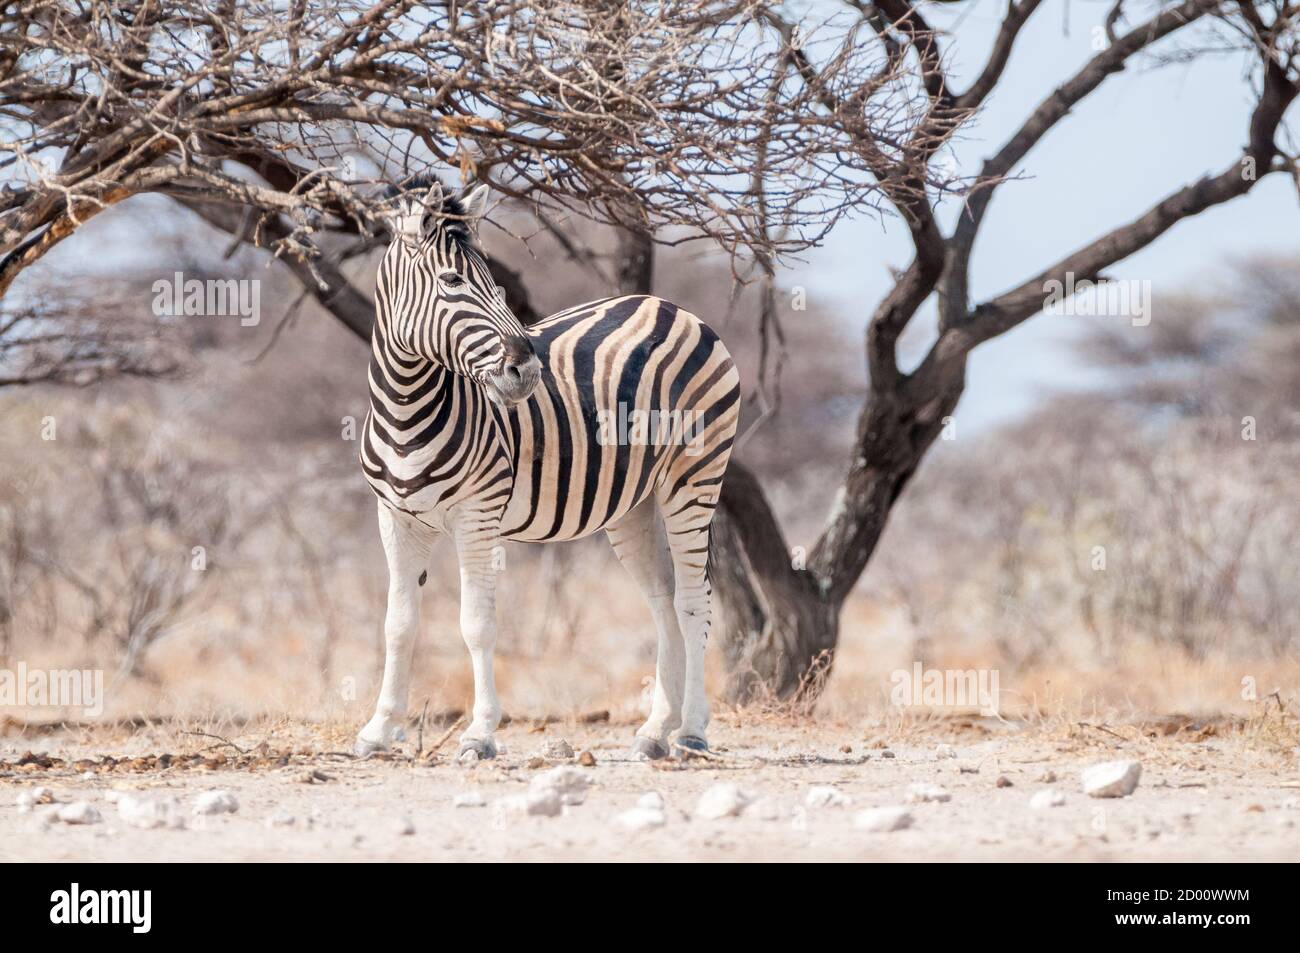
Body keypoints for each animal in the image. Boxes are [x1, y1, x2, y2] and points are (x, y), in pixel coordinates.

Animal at [355, 176, 741, 761]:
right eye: (452, 281)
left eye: (495, 282)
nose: (527, 370)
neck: (407, 411)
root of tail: (670, 306)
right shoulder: (395, 517)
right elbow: (396, 623)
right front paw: (380, 730)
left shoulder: (477, 515)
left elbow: (476, 624)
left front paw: (480, 734)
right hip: (633, 504)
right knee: (662, 601)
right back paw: (656, 730)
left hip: (694, 477)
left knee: (694, 600)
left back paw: (692, 731)